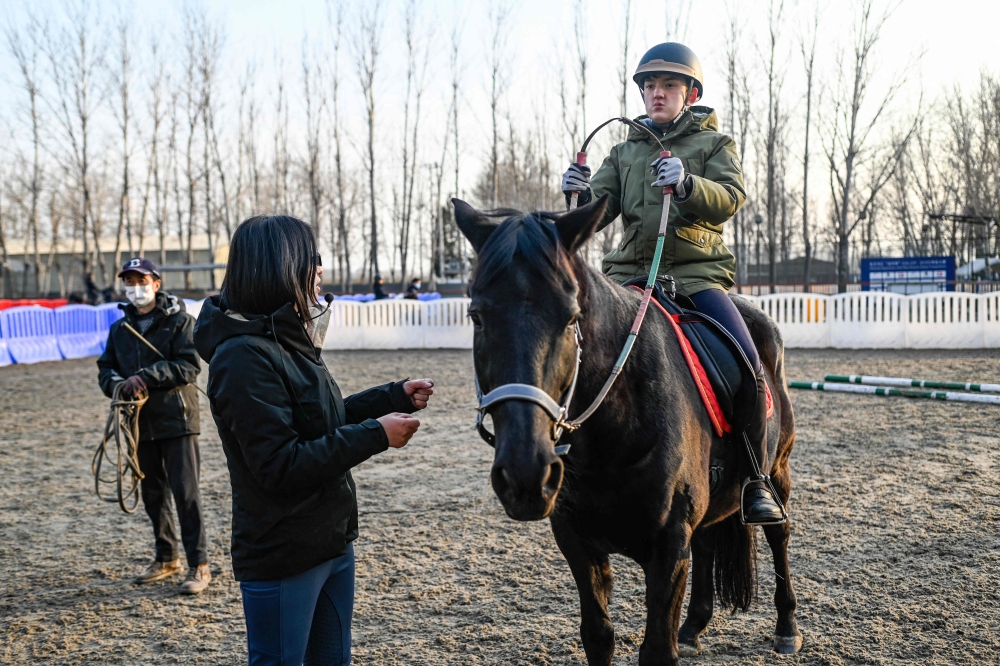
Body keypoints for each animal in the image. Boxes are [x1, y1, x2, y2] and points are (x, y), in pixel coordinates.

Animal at [453, 195, 802, 666]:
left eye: (571, 317)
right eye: (477, 316)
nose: (526, 473)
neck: (610, 432)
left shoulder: (667, 547)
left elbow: (656, 649)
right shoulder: (577, 541)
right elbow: (598, 636)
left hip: (777, 468)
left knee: (778, 534)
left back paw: (786, 627)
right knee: (707, 541)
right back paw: (694, 626)